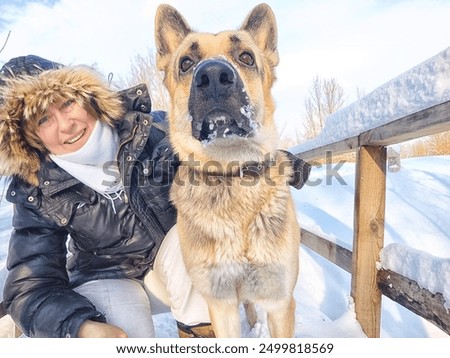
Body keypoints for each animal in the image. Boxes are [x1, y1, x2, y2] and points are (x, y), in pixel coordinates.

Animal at [154, 3, 298, 338]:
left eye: (246, 57)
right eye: (186, 63)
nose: (213, 76)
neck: (230, 174)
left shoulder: (281, 303)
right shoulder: (220, 305)